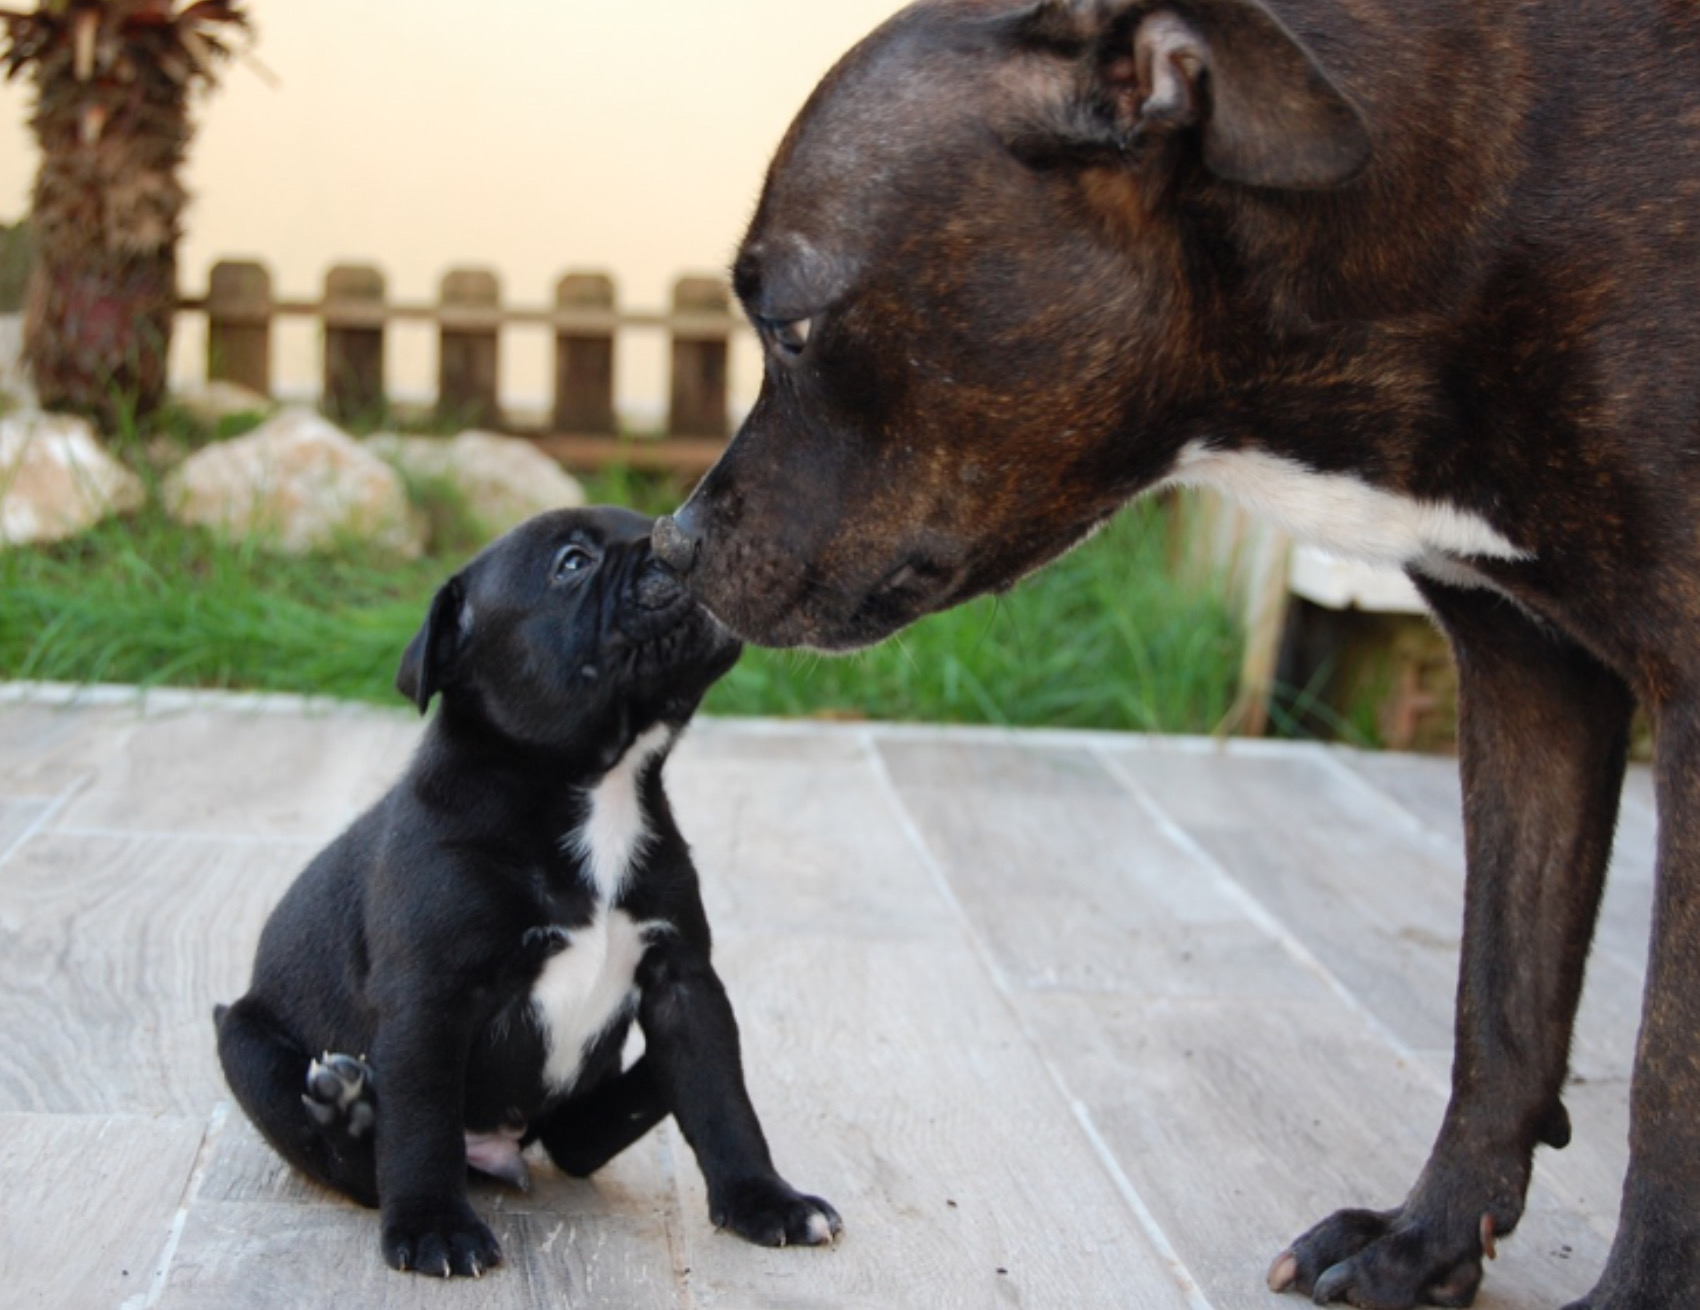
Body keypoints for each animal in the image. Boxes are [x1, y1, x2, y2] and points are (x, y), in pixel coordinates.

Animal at [215, 506, 839, 1277]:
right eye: (571, 562)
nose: (676, 538)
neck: (597, 786)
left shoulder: (682, 982)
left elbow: (723, 1100)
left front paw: (766, 1200)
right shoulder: (429, 1000)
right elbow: (419, 1128)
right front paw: (434, 1226)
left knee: (581, 1137)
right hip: (243, 1043)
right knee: (357, 1166)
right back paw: (348, 1110)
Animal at [649, 2, 1700, 1310]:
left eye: (787, 323)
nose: (671, 541)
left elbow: (1665, 1073)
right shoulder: (1526, 674)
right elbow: (1499, 1001)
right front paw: (1423, 1235)